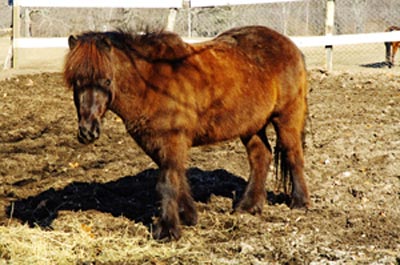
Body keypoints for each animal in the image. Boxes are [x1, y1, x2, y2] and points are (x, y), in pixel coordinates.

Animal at [64, 25, 310, 240]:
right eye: (76, 82)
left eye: (107, 80)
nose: (88, 131)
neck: (151, 83)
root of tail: (288, 44)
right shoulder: (157, 143)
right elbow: (176, 177)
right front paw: (188, 216)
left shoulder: (173, 139)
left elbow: (167, 182)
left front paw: (167, 231)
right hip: (252, 125)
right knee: (261, 157)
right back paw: (248, 206)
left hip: (286, 117)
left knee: (293, 155)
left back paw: (299, 203)